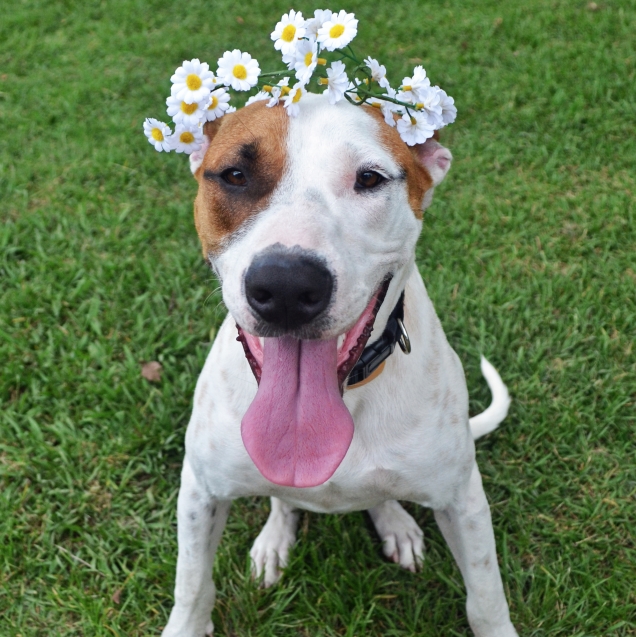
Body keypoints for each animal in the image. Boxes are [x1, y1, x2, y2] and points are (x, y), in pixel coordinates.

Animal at [161, 94, 520, 636]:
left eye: (369, 178)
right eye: (236, 175)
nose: (286, 287)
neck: (348, 392)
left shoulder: (464, 500)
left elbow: (485, 597)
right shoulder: (200, 492)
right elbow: (192, 586)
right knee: (281, 499)